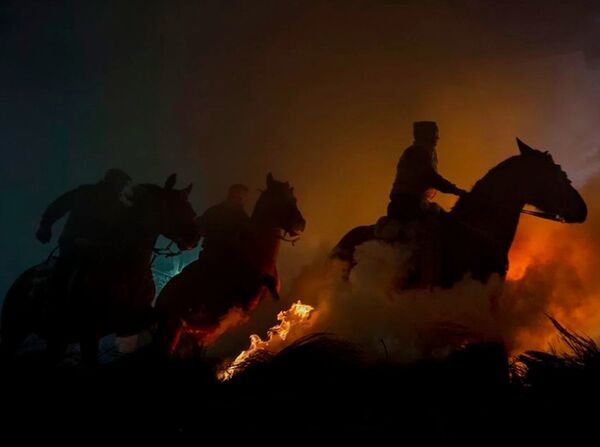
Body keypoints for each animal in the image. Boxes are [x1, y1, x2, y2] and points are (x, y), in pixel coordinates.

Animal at [1, 173, 200, 366]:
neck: (127, 269)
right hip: (15, 333)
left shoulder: (132, 319)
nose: (195, 236)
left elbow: (165, 316)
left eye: (189, 206)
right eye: (175, 205)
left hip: (57, 340)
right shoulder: (89, 333)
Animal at [155, 173, 304, 356]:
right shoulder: (246, 297)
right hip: (171, 329)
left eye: (293, 198)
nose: (300, 224)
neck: (257, 253)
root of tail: (160, 298)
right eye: (277, 198)